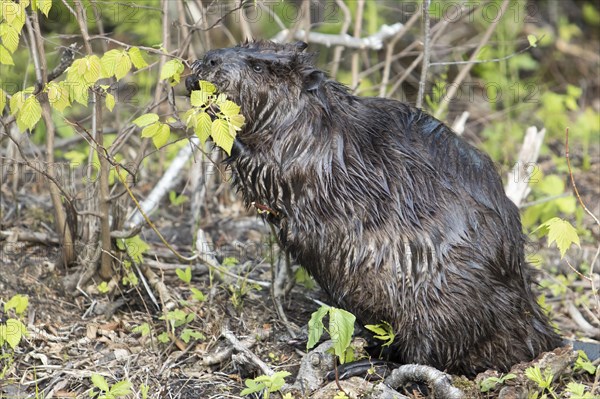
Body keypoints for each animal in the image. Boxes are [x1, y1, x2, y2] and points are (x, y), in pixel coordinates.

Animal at [186, 41, 564, 378]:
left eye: (259, 67)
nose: (210, 58)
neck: (319, 119)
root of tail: (539, 331)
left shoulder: (309, 157)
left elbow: (268, 172)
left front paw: (213, 111)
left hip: (441, 304)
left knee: (429, 358)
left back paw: (362, 366)